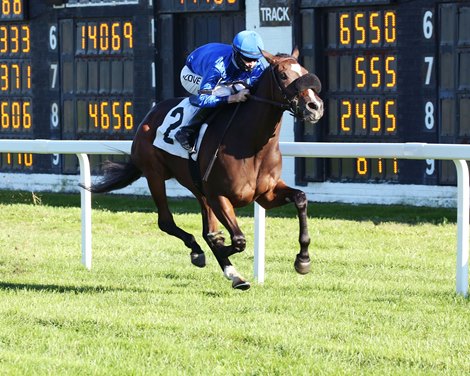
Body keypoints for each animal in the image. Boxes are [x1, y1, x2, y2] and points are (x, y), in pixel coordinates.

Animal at [83, 48, 324, 290]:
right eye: (283, 75)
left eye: (305, 71)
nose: (315, 106)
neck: (251, 144)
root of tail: (149, 116)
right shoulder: (218, 195)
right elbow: (236, 240)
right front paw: (221, 249)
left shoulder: (265, 195)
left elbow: (300, 198)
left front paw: (303, 260)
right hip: (155, 175)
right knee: (166, 221)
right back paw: (199, 253)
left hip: (197, 187)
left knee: (204, 228)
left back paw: (232, 272)